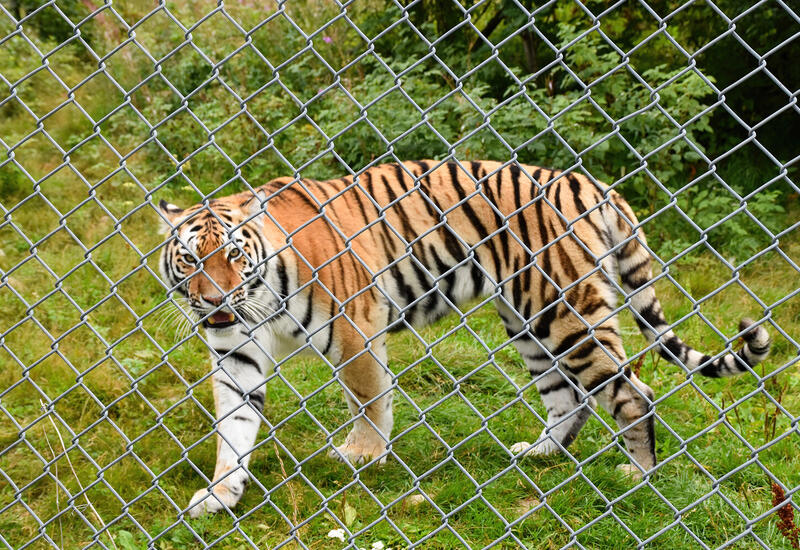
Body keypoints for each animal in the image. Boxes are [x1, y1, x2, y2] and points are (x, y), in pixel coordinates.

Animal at [157, 159, 770, 517]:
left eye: (233, 255)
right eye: (190, 259)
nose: (212, 302)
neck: (258, 297)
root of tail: (595, 183)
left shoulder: (356, 328)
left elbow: (368, 396)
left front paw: (364, 455)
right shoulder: (236, 353)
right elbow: (233, 428)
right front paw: (221, 494)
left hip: (561, 308)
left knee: (631, 391)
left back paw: (638, 475)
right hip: (527, 320)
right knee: (568, 396)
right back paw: (541, 453)